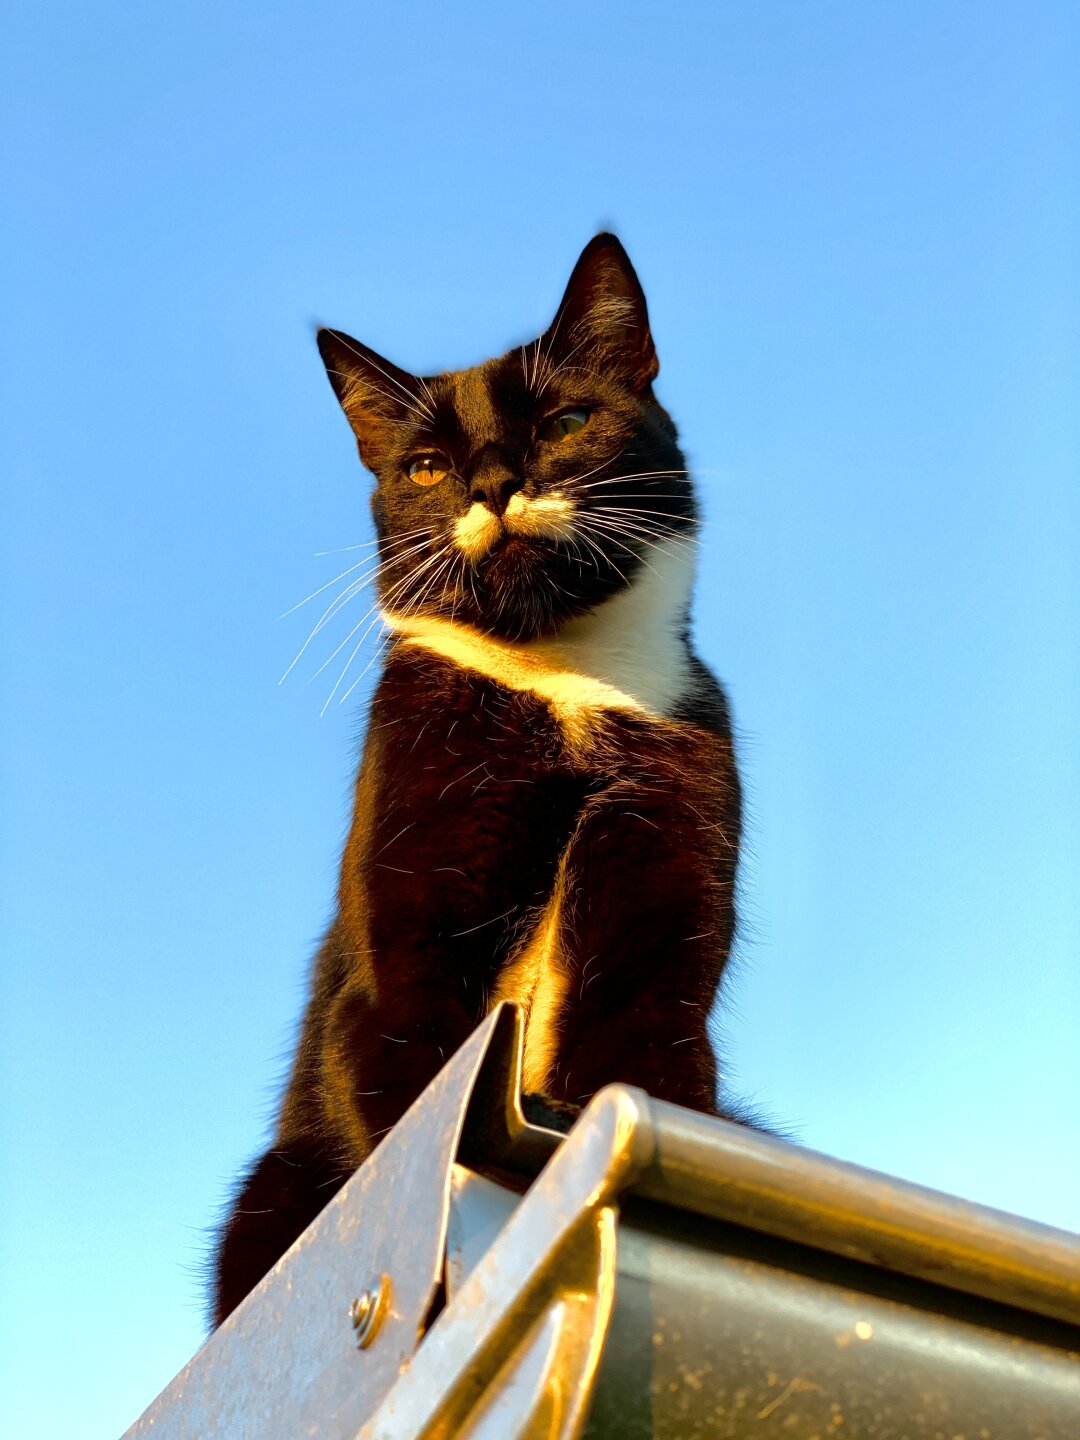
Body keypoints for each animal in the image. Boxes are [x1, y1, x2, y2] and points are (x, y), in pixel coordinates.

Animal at [216, 233, 748, 1324]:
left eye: (566, 423)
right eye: (425, 466)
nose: (494, 482)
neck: (565, 687)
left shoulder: (668, 932)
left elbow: (652, 1066)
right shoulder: (403, 945)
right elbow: (414, 1106)